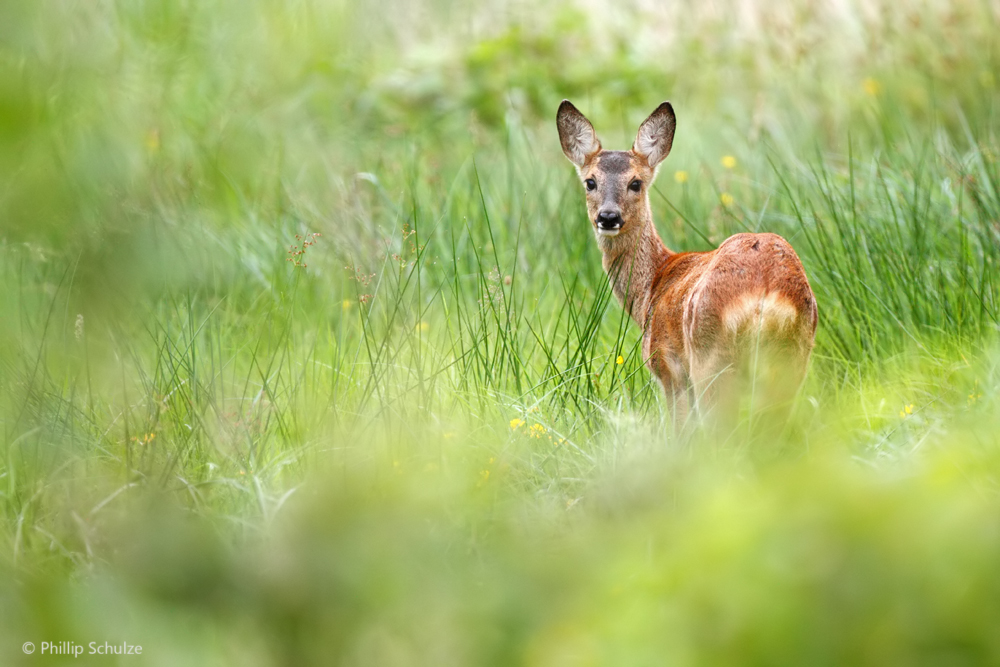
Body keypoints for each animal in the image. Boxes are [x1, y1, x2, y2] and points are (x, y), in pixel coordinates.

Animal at [560, 101, 816, 430]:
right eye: (590, 182)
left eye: (635, 183)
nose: (608, 217)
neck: (652, 287)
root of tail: (765, 293)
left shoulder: (668, 367)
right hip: (792, 359)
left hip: (711, 360)